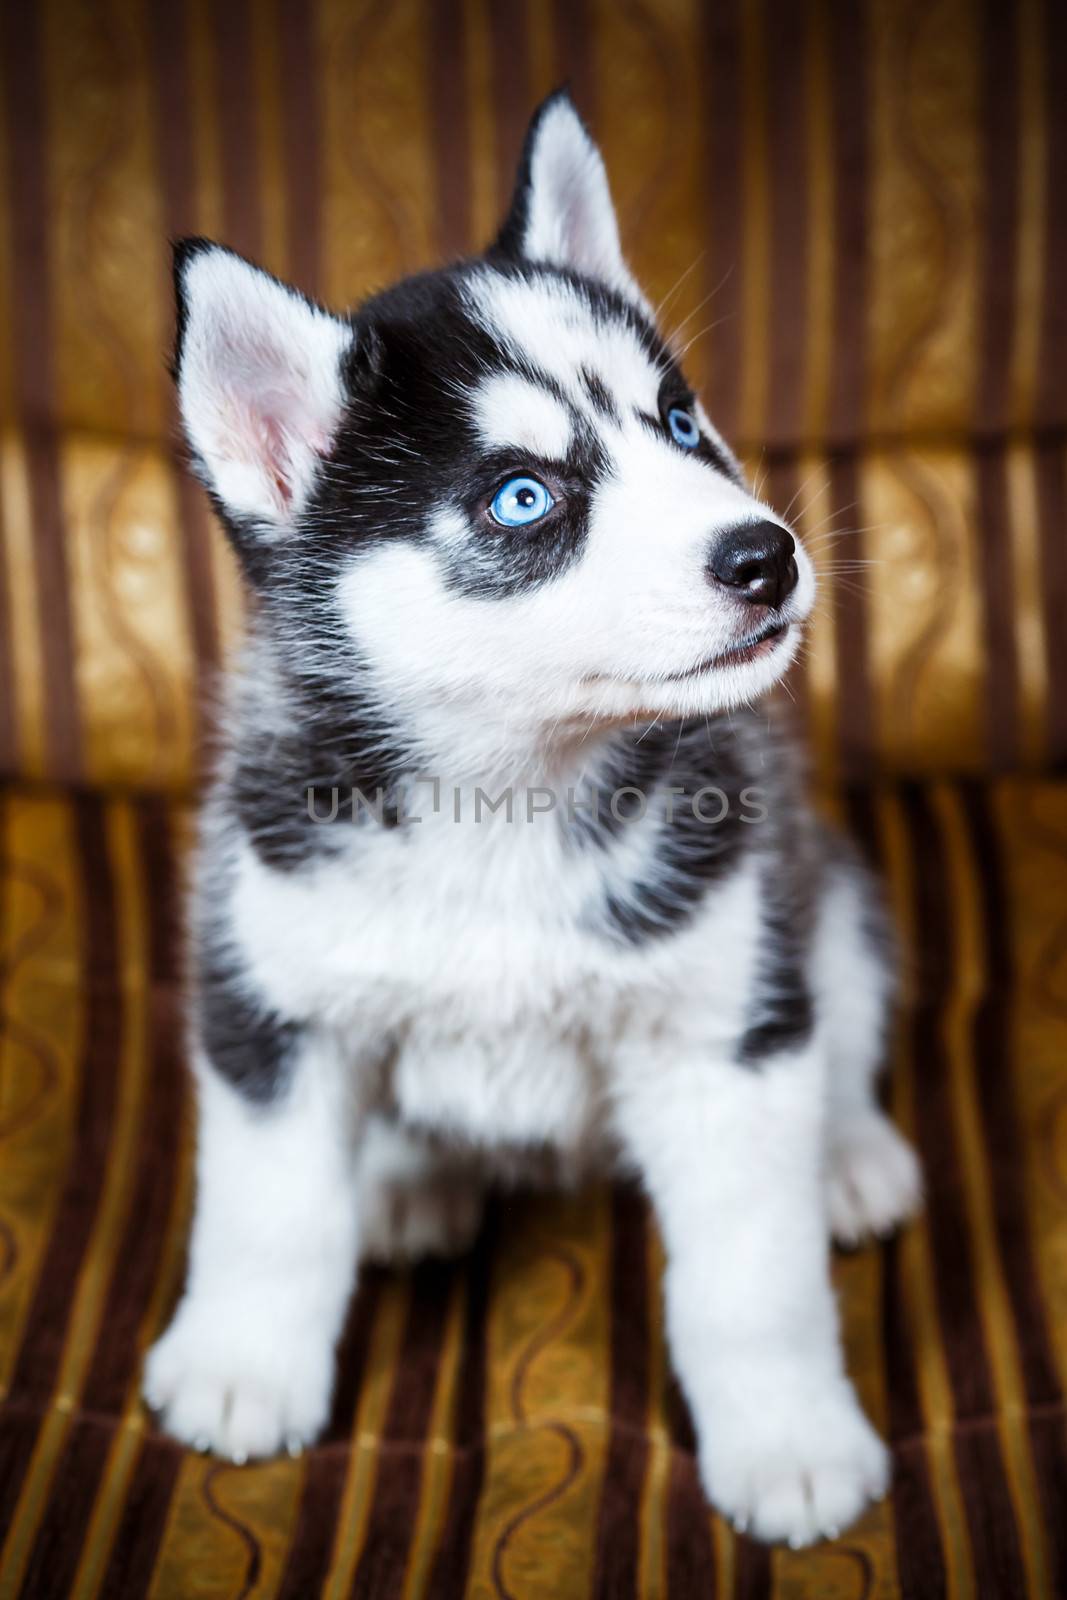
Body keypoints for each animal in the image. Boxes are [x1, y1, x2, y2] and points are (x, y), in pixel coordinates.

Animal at [146, 93, 921, 1542]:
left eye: (679, 422)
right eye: (522, 496)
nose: (766, 555)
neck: (504, 798)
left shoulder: (721, 1029)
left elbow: (754, 1280)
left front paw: (790, 1441)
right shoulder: (267, 999)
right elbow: (268, 1219)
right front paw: (239, 1367)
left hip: (817, 901)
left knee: (838, 1027)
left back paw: (848, 1153)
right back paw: (405, 1180)